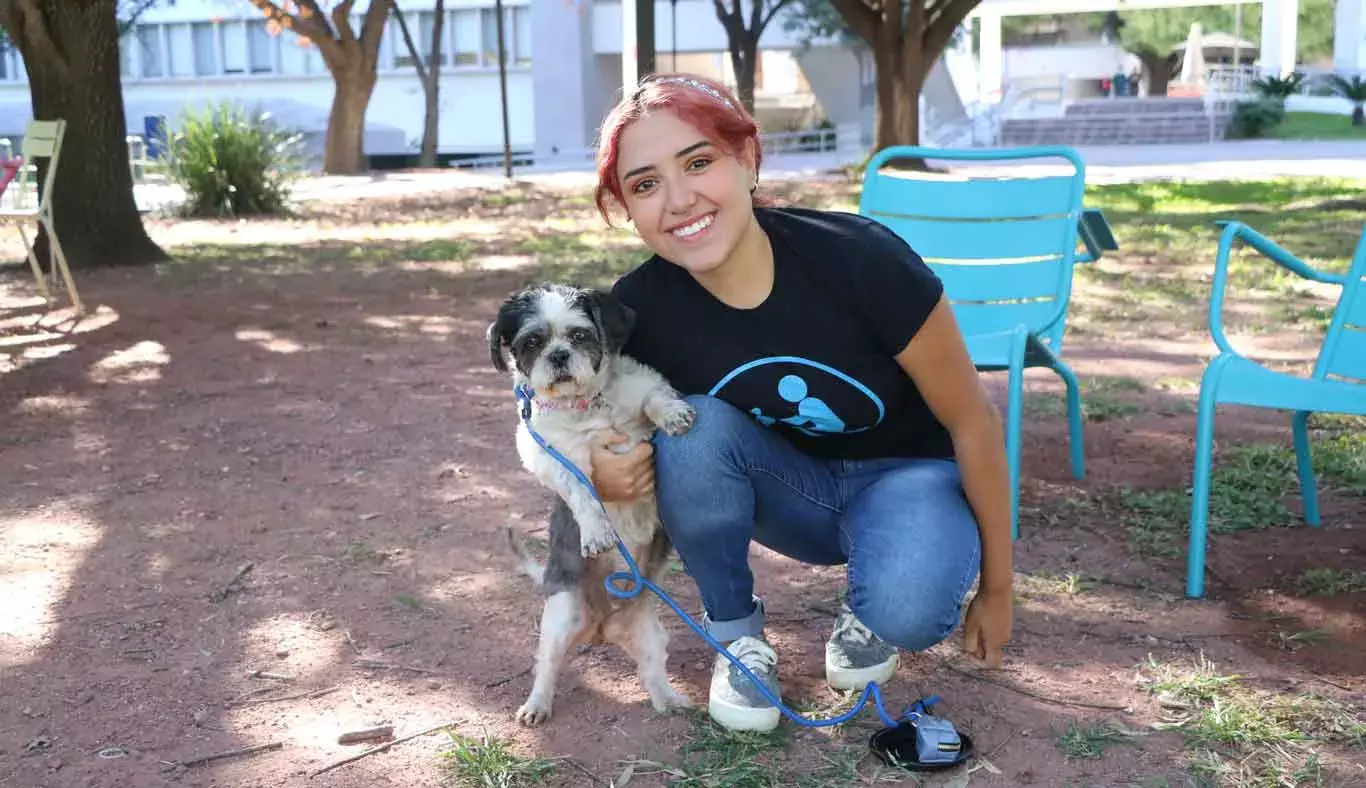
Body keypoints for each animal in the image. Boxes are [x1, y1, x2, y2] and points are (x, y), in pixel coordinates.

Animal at [489, 282, 699, 726]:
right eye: (532, 342)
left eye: (579, 335)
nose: (558, 355)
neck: (590, 404)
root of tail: (603, 628)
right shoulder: (551, 454)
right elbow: (581, 489)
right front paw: (596, 531)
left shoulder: (644, 388)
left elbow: (656, 399)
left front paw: (673, 414)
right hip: (560, 617)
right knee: (547, 667)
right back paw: (536, 705)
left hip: (651, 633)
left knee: (652, 672)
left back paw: (669, 701)